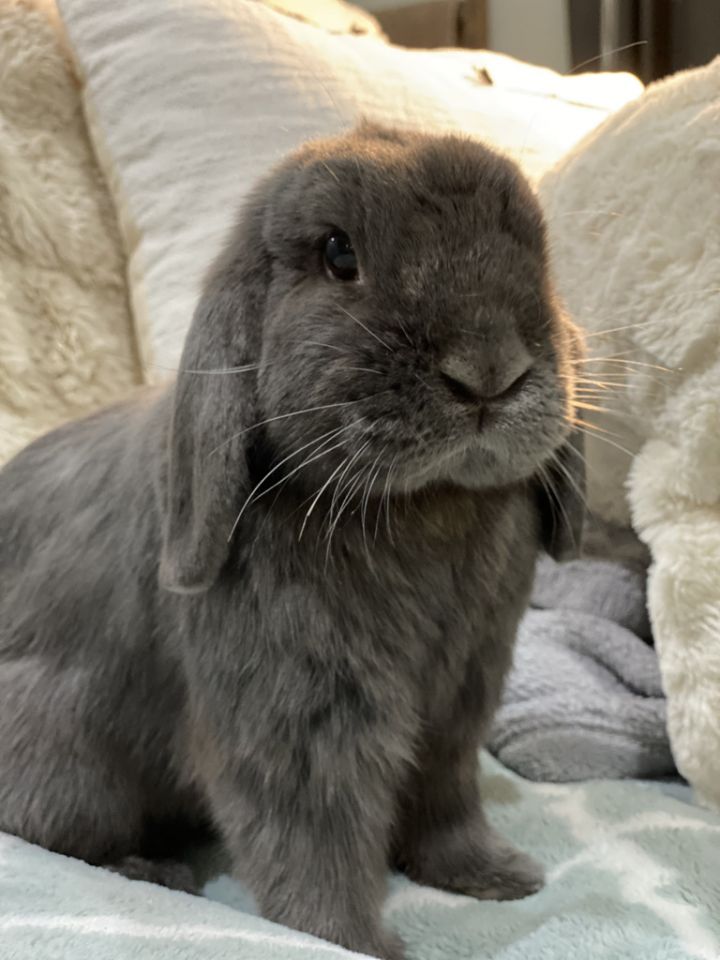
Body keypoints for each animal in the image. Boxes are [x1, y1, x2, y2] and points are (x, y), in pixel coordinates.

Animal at [0, 124, 584, 956]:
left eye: (537, 248)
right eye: (338, 253)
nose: (490, 369)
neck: (424, 504)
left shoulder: (458, 700)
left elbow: (446, 799)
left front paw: (497, 876)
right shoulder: (299, 721)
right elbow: (313, 840)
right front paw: (353, 941)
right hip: (67, 758)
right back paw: (153, 872)